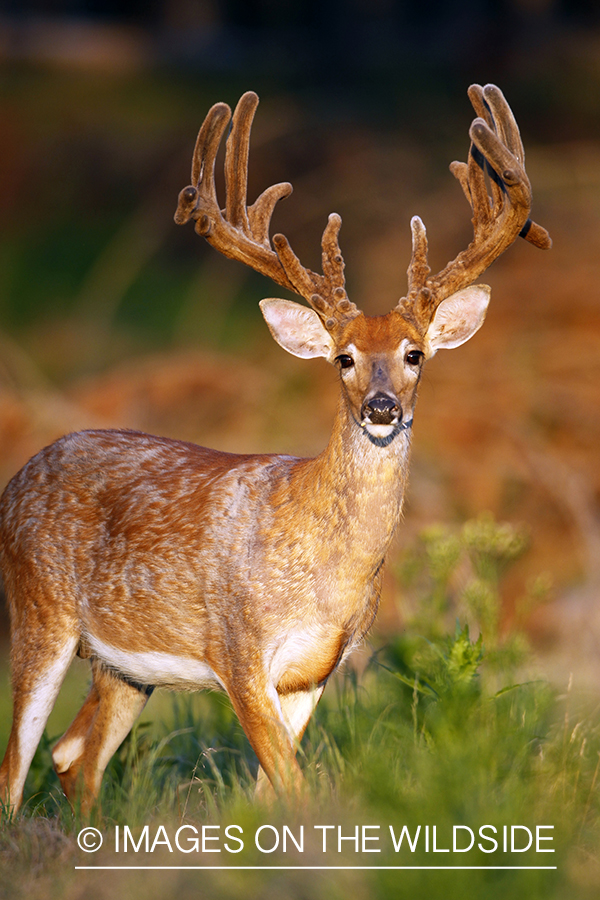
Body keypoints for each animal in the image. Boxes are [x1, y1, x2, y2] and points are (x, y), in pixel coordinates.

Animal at [0, 86, 548, 816]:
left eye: (415, 354)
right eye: (344, 357)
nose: (381, 408)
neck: (324, 573)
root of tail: (19, 475)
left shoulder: (314, 671)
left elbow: (274, 793)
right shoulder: (237, 649)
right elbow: (293, 785)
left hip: (124, 664)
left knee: (71, 753)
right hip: (39, 608)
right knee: (15, 765)